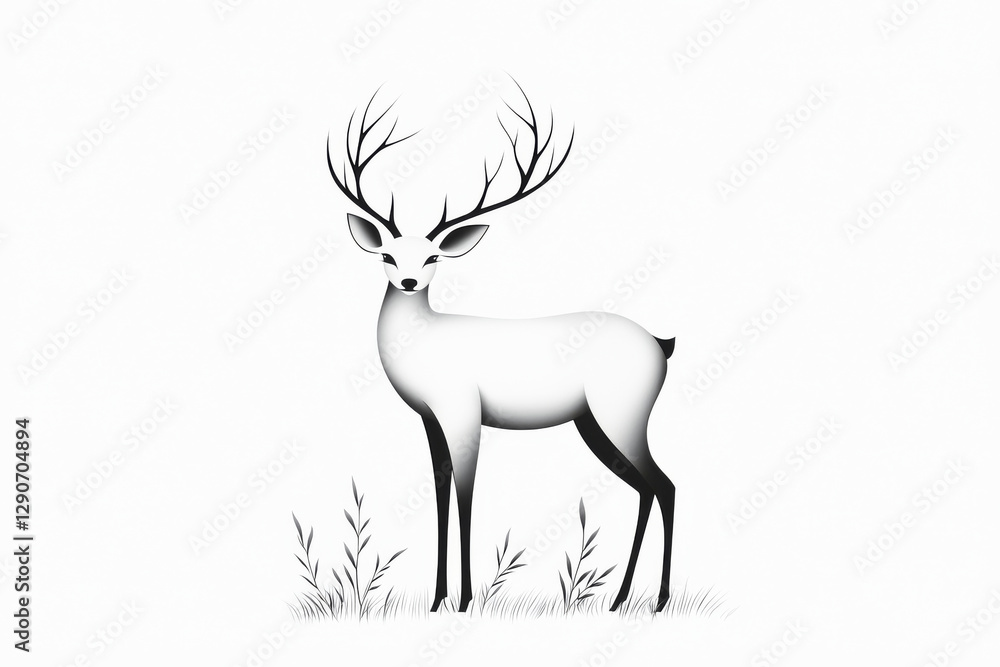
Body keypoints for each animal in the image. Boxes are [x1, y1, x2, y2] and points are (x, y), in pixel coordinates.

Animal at [327, 82, 677, 613]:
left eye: (432, 258)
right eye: (387, 254)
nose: (408, 282)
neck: (425, 344)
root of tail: (662, 343)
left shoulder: (464, 413)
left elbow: (467, 494)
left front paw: (466, 599)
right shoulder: (431, 419)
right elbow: (440, 494)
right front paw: (437, 598)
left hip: (623, 413)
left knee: (665, 485)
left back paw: (656, 601)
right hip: (591, 423)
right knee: (643, 488)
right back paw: (619, 600)